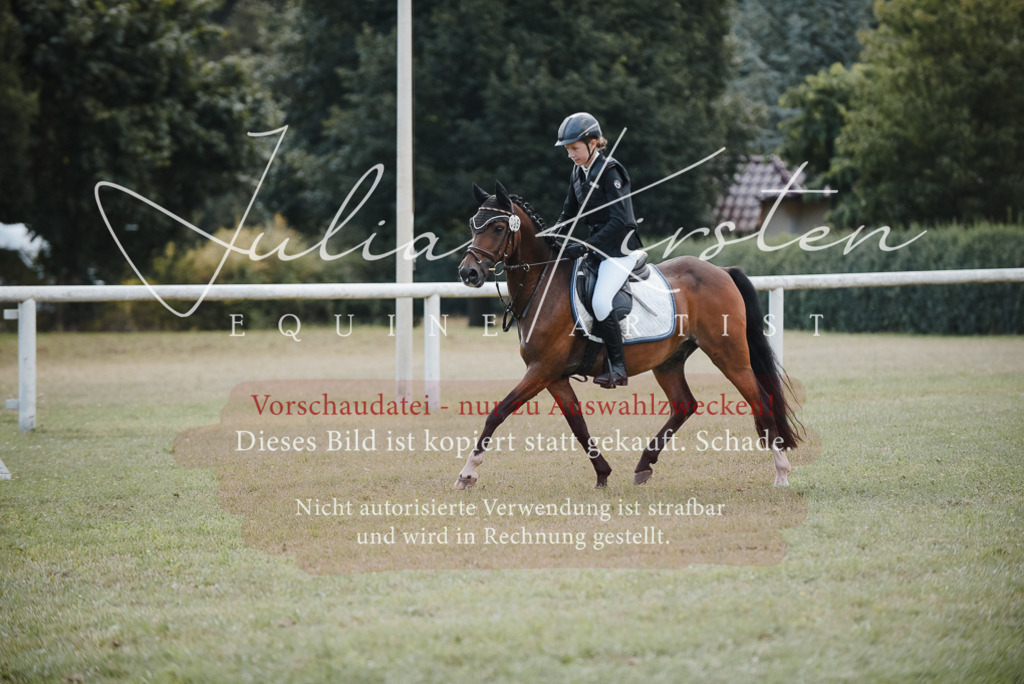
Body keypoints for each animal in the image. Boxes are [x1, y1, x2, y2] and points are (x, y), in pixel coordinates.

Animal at [454, 181, 801, 489]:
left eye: (498, 228)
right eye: (473, 225)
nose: (468, 273)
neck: (544, 283)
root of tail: (722, 272)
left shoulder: (541, 370)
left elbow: (497, 413)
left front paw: (468, 473)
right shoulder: (554, 376)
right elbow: (578, 425)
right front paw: (603, 474)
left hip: (728, 355)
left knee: (760, 400)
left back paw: (782, 472)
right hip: (669, 360)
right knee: (684, 405)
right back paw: (644, 464)